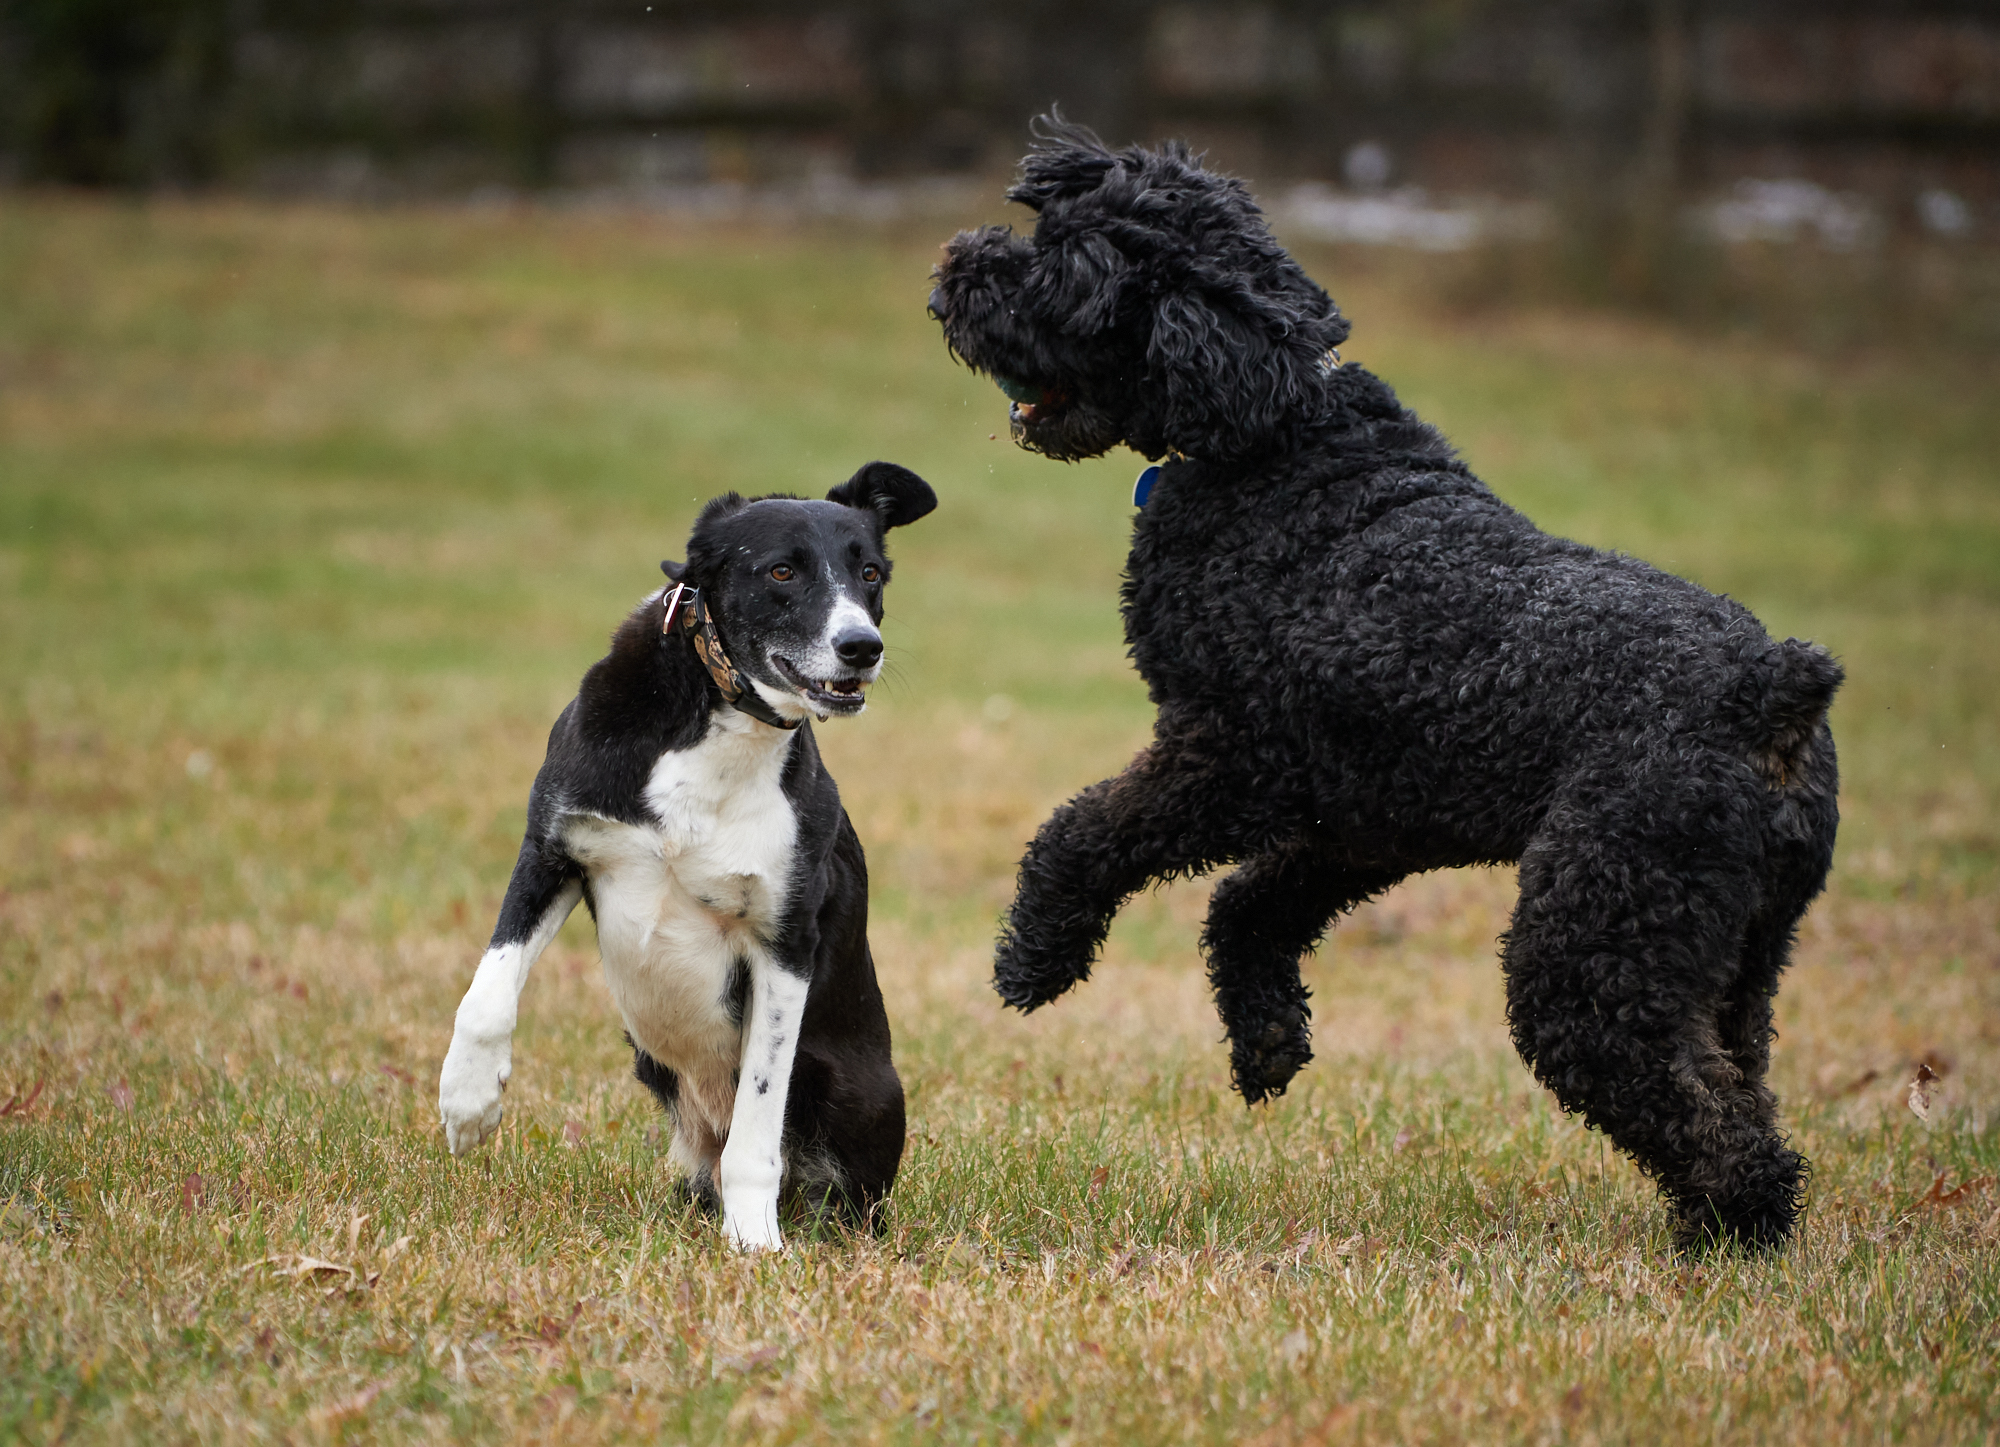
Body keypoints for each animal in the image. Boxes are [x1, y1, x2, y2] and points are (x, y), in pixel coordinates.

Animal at [434, 465, 932, 1255]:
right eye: (782, 570)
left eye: (871, 573)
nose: (862, 645)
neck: (717, 716)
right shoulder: (552, 851)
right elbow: (488, 990)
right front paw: (469, 1101)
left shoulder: (784, 942)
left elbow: (757, 1121)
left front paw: (754, 1240)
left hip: (863, 1094)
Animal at [932, 118, 1840, 1255]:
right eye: (1041, 226)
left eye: (1064, 269)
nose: (953, 272)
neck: (1280, 432)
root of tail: (1769, 693)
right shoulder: (1367, 818)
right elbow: (1249, 908)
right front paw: (1268, 1042)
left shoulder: (1229, 756)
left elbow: (1085, 832)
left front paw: (1035, 959)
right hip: (1739, 948)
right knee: (1741, 1084)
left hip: (1598, 934)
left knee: (1700, 1109)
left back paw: (1723, 1235)